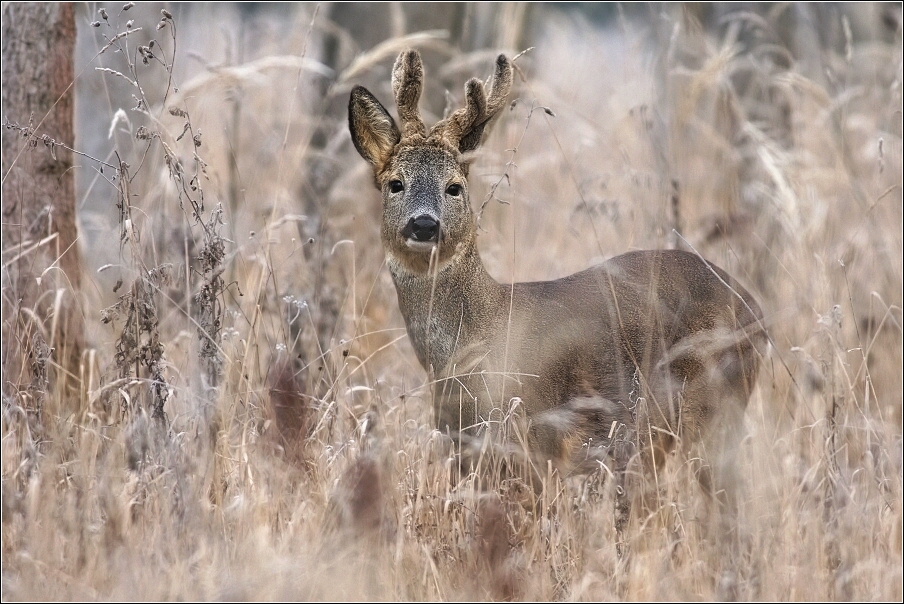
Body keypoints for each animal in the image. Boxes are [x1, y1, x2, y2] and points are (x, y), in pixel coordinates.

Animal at [350, 49, 768, 508]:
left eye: (454, 187)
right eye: (396, 183)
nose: (424, 225)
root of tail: (756, 310)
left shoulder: (538, 441)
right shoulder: (465, 449)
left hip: (711, 406)